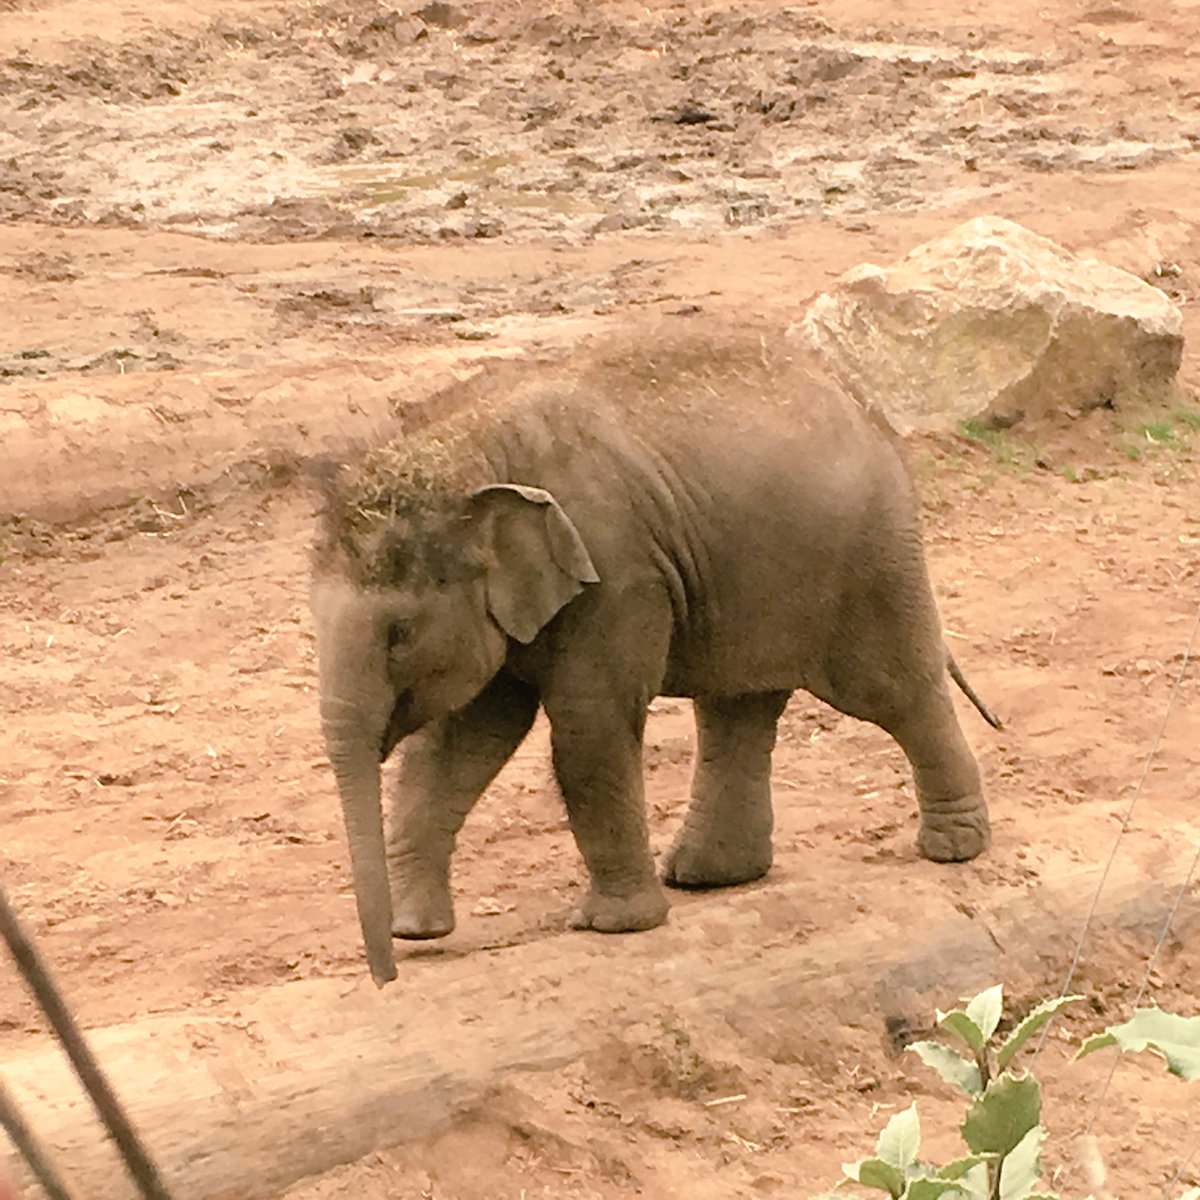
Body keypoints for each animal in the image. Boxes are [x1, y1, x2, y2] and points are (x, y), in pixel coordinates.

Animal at [310, 322, 1000, 985]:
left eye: (399, 634)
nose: (386, 978)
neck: (470, 448)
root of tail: (865, 405)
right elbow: (464, 740)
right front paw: (415, 930)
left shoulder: (617, 572)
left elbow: (587, 728)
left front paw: (613, 925)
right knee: (738, 708)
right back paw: (708, 876)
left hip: (870, 558)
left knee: (894, 690)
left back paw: (954, 848)